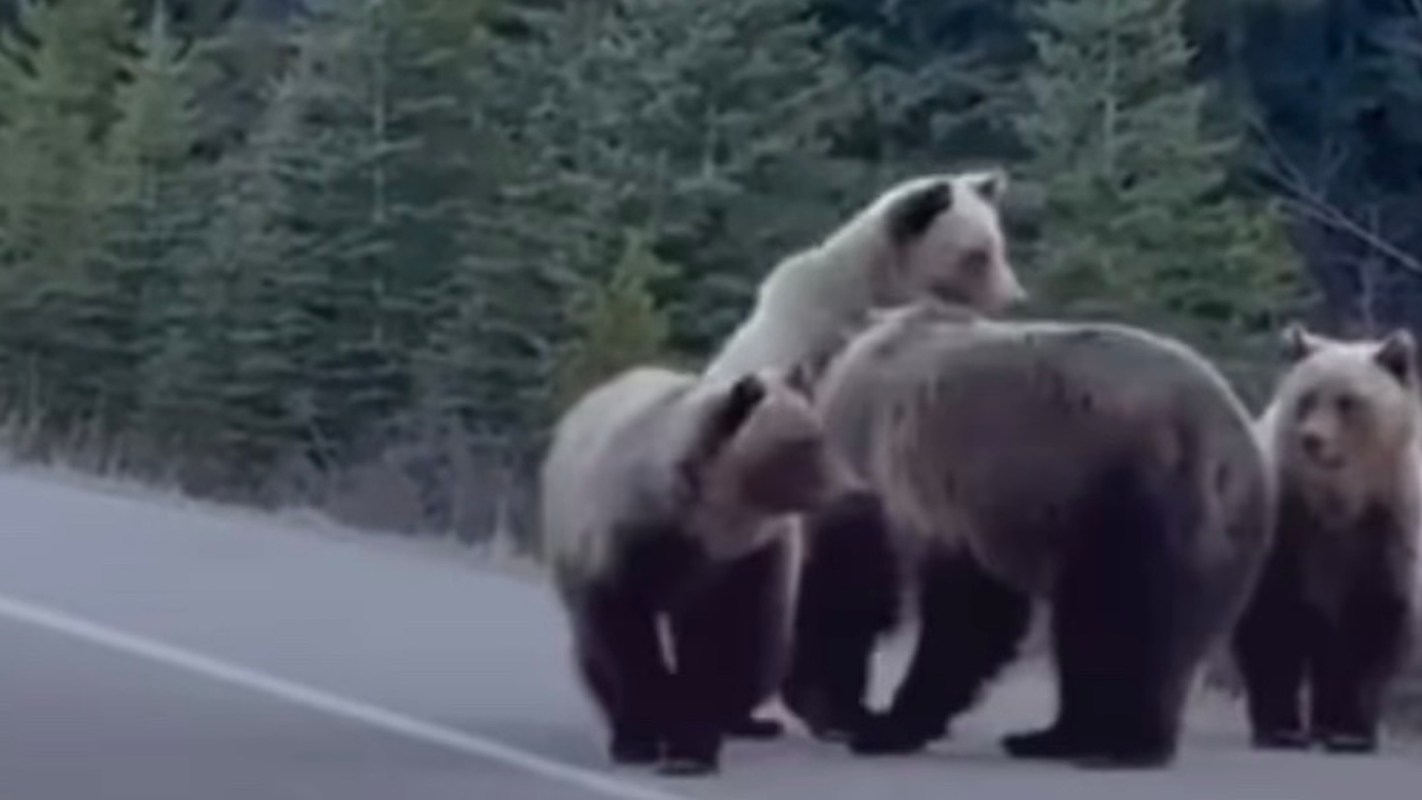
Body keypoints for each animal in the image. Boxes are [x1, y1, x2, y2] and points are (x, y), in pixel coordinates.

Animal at [540, 364, 847, 776]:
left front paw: (690, 747)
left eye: (822, 434)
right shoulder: (633, 534)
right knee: (594, 648)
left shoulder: (746, 559)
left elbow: (723, 644)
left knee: (765, 655)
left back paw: (751, 722)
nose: (845, 488)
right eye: (803, 443)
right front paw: (642, 736)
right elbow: (625, 637)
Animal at [780, 299, 1276, 768]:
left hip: (1122, 497)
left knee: (1113, 619)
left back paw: (1110, 744)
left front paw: (868, 720)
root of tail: (1224, 449)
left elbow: (878, 592)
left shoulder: (896, 475)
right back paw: (1067, 738)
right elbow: (976, 609)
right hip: (1226, 535)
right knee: (1157, 635)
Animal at [1231, 324, 1422, 754]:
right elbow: (1273, 618)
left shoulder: (1385, 527)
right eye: (1306, 398)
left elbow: (1373, 621)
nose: (1313, 439)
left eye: (1348, 402)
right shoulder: (1291, 523)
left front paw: (1349, 731)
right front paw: (1281, 729)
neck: (1338, 502)